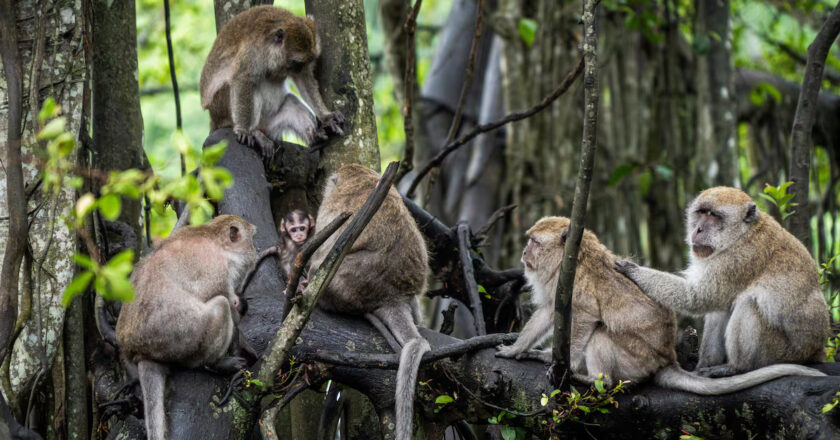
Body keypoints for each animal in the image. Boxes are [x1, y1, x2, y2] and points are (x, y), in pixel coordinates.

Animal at [115, 216, 256, 440]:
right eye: (251, 240)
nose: (256, 252)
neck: (214, 237)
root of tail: (140, 353)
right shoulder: (217, 271)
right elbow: (227, 304)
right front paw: (242, 343)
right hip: (181, 339)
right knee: (221, 306)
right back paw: (216, 363)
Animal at [201, 5, 344, 162]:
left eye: (308, 62)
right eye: (298, 63)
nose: (300, 69)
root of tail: (213, 119)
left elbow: (305, 80)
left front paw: (326, 116)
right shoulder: (253, 52)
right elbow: (242, 78)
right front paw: (243, 130)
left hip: (271, 124)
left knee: (291, 102)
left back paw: (315, 137)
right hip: (221, 108)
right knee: (248, 88)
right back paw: (255, 132)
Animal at [496, 217, 824, 396]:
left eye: (535, 242)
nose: (524, 252)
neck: (574, 256)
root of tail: (667, 358)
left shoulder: (573, 282)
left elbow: (587, 317)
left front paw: (568, 364)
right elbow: (548, 312)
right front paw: (517, 349)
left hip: (635, 360)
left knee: (600, 334)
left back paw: (598, 381)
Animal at [612, 187, 832, 376]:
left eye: (713, 215)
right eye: (702, 212)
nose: (698, 229)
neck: (742, 234)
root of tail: (815, 351)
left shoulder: (737, 259)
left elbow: (697, 297)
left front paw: (633, 270)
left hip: (779, 352)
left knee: (747, 303)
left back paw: (737, 367)